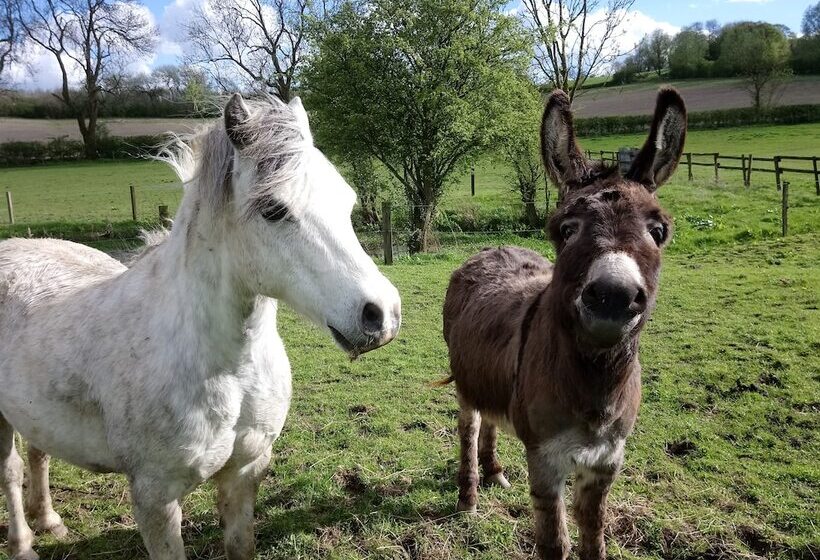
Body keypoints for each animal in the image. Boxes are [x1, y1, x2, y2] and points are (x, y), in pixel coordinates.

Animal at [0, 94, 400, 556]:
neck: (229, 368)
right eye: (273, 209)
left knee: (38, 453)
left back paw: (49, 521)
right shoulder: (155, 498)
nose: (382, 314)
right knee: (11, 470)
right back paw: (23, 543)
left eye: (346, 201)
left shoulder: (245, 472)